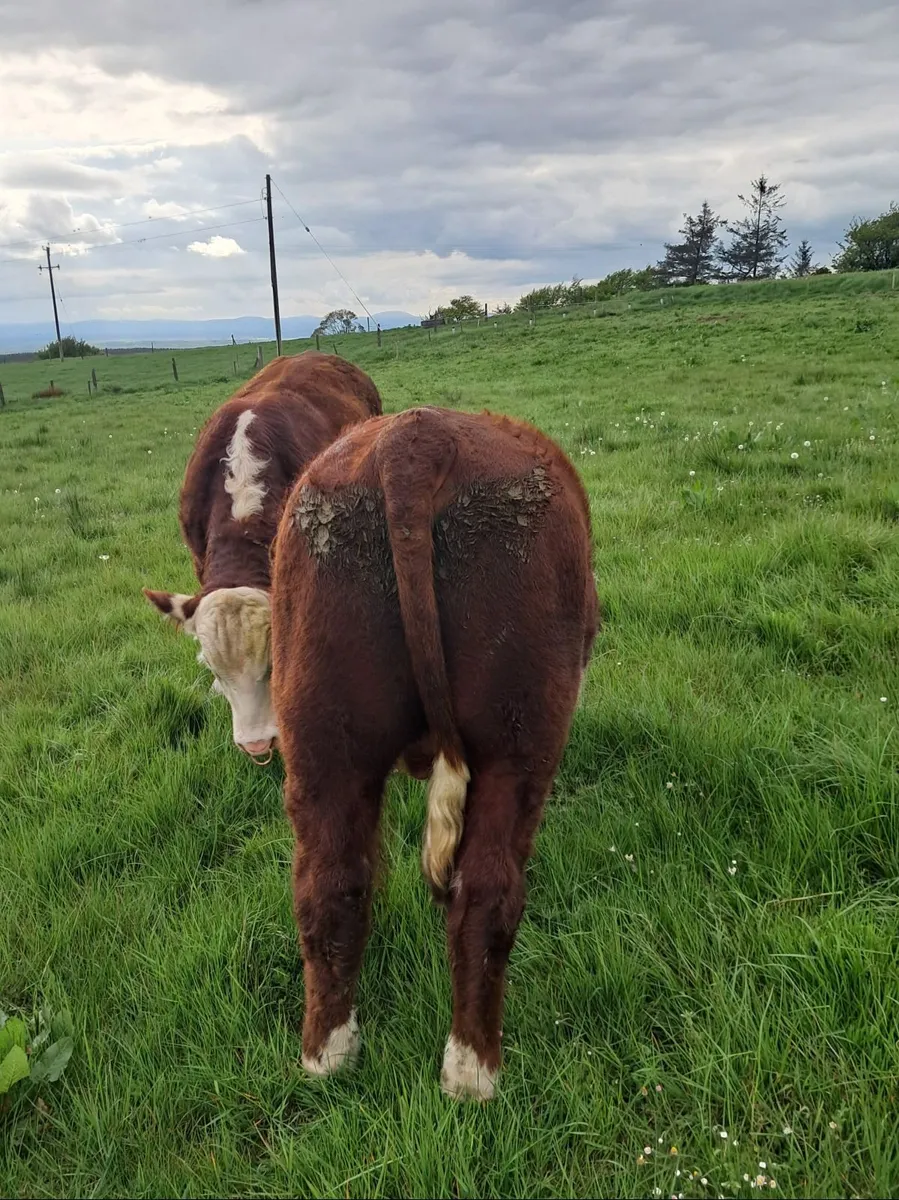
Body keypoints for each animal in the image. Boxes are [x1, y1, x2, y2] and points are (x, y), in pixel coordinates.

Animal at [270, 405, 598, 1100]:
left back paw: (328, 1054)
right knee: (489, 892)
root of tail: (415, 439)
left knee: (329, 883)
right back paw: (474, 1070)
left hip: (321, 739)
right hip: (518, 742)